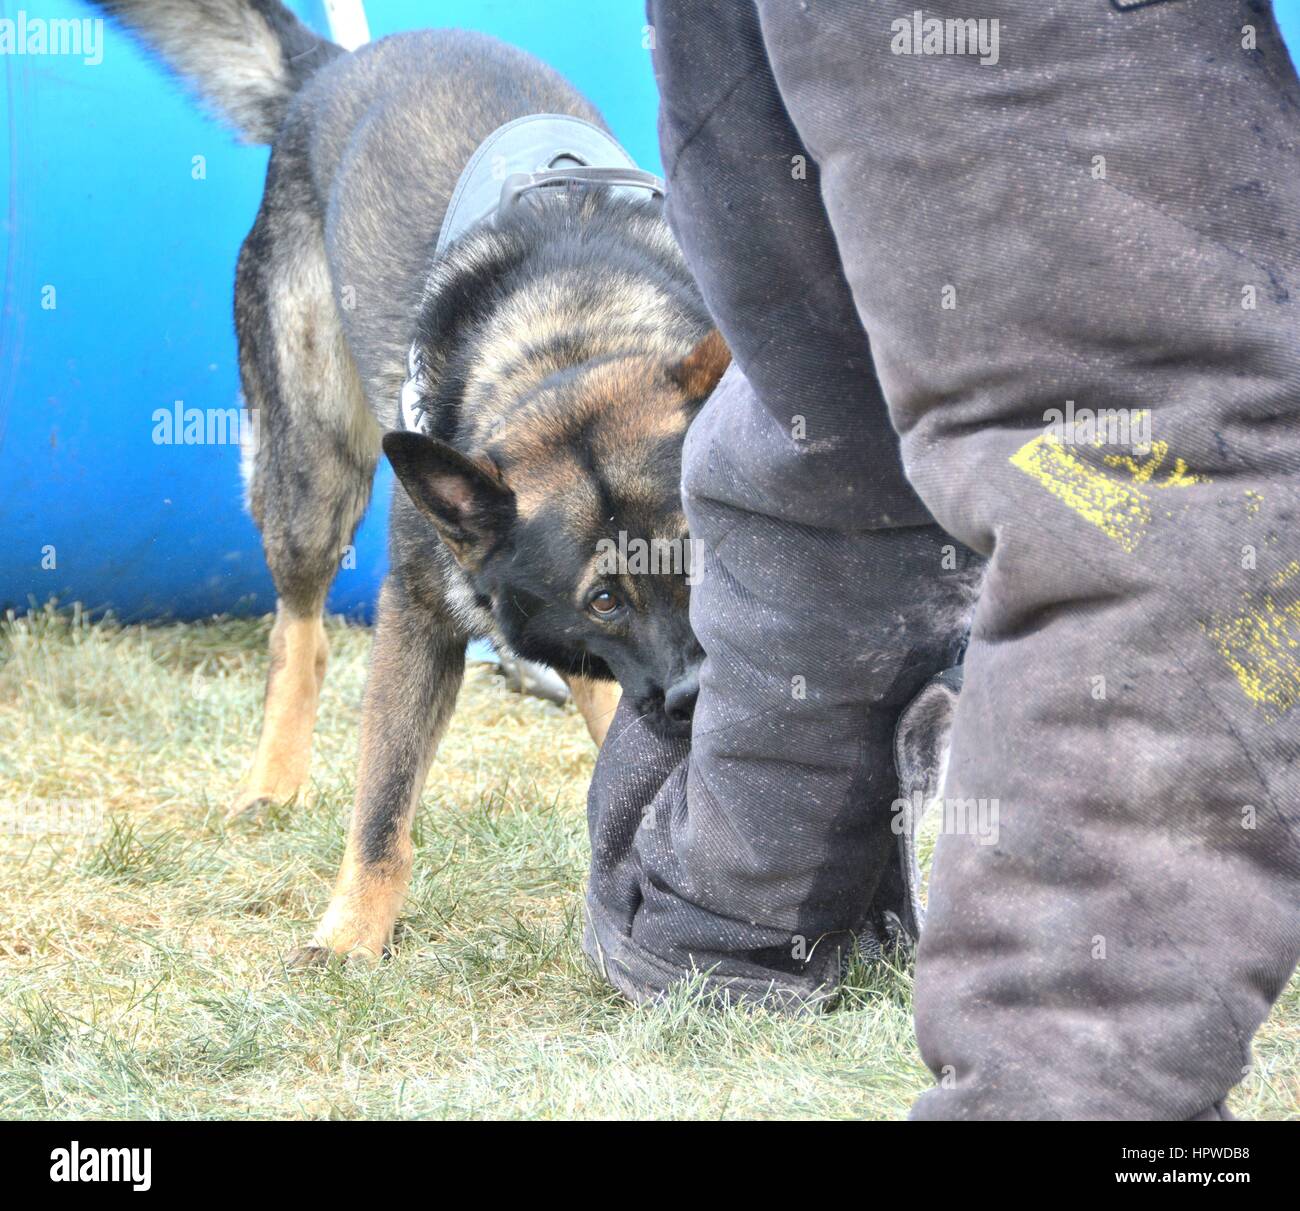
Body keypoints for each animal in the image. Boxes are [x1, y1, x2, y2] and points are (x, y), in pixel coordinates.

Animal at [94, 2, 733, 966]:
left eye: (699, 555)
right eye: (604, 598)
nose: (699, 699)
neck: (566, 344)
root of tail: (330, 69)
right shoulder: (419, 615)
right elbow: (383, 800)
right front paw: (352, 934)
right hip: (311, 478)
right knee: (300, 635)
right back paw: (273, 781)